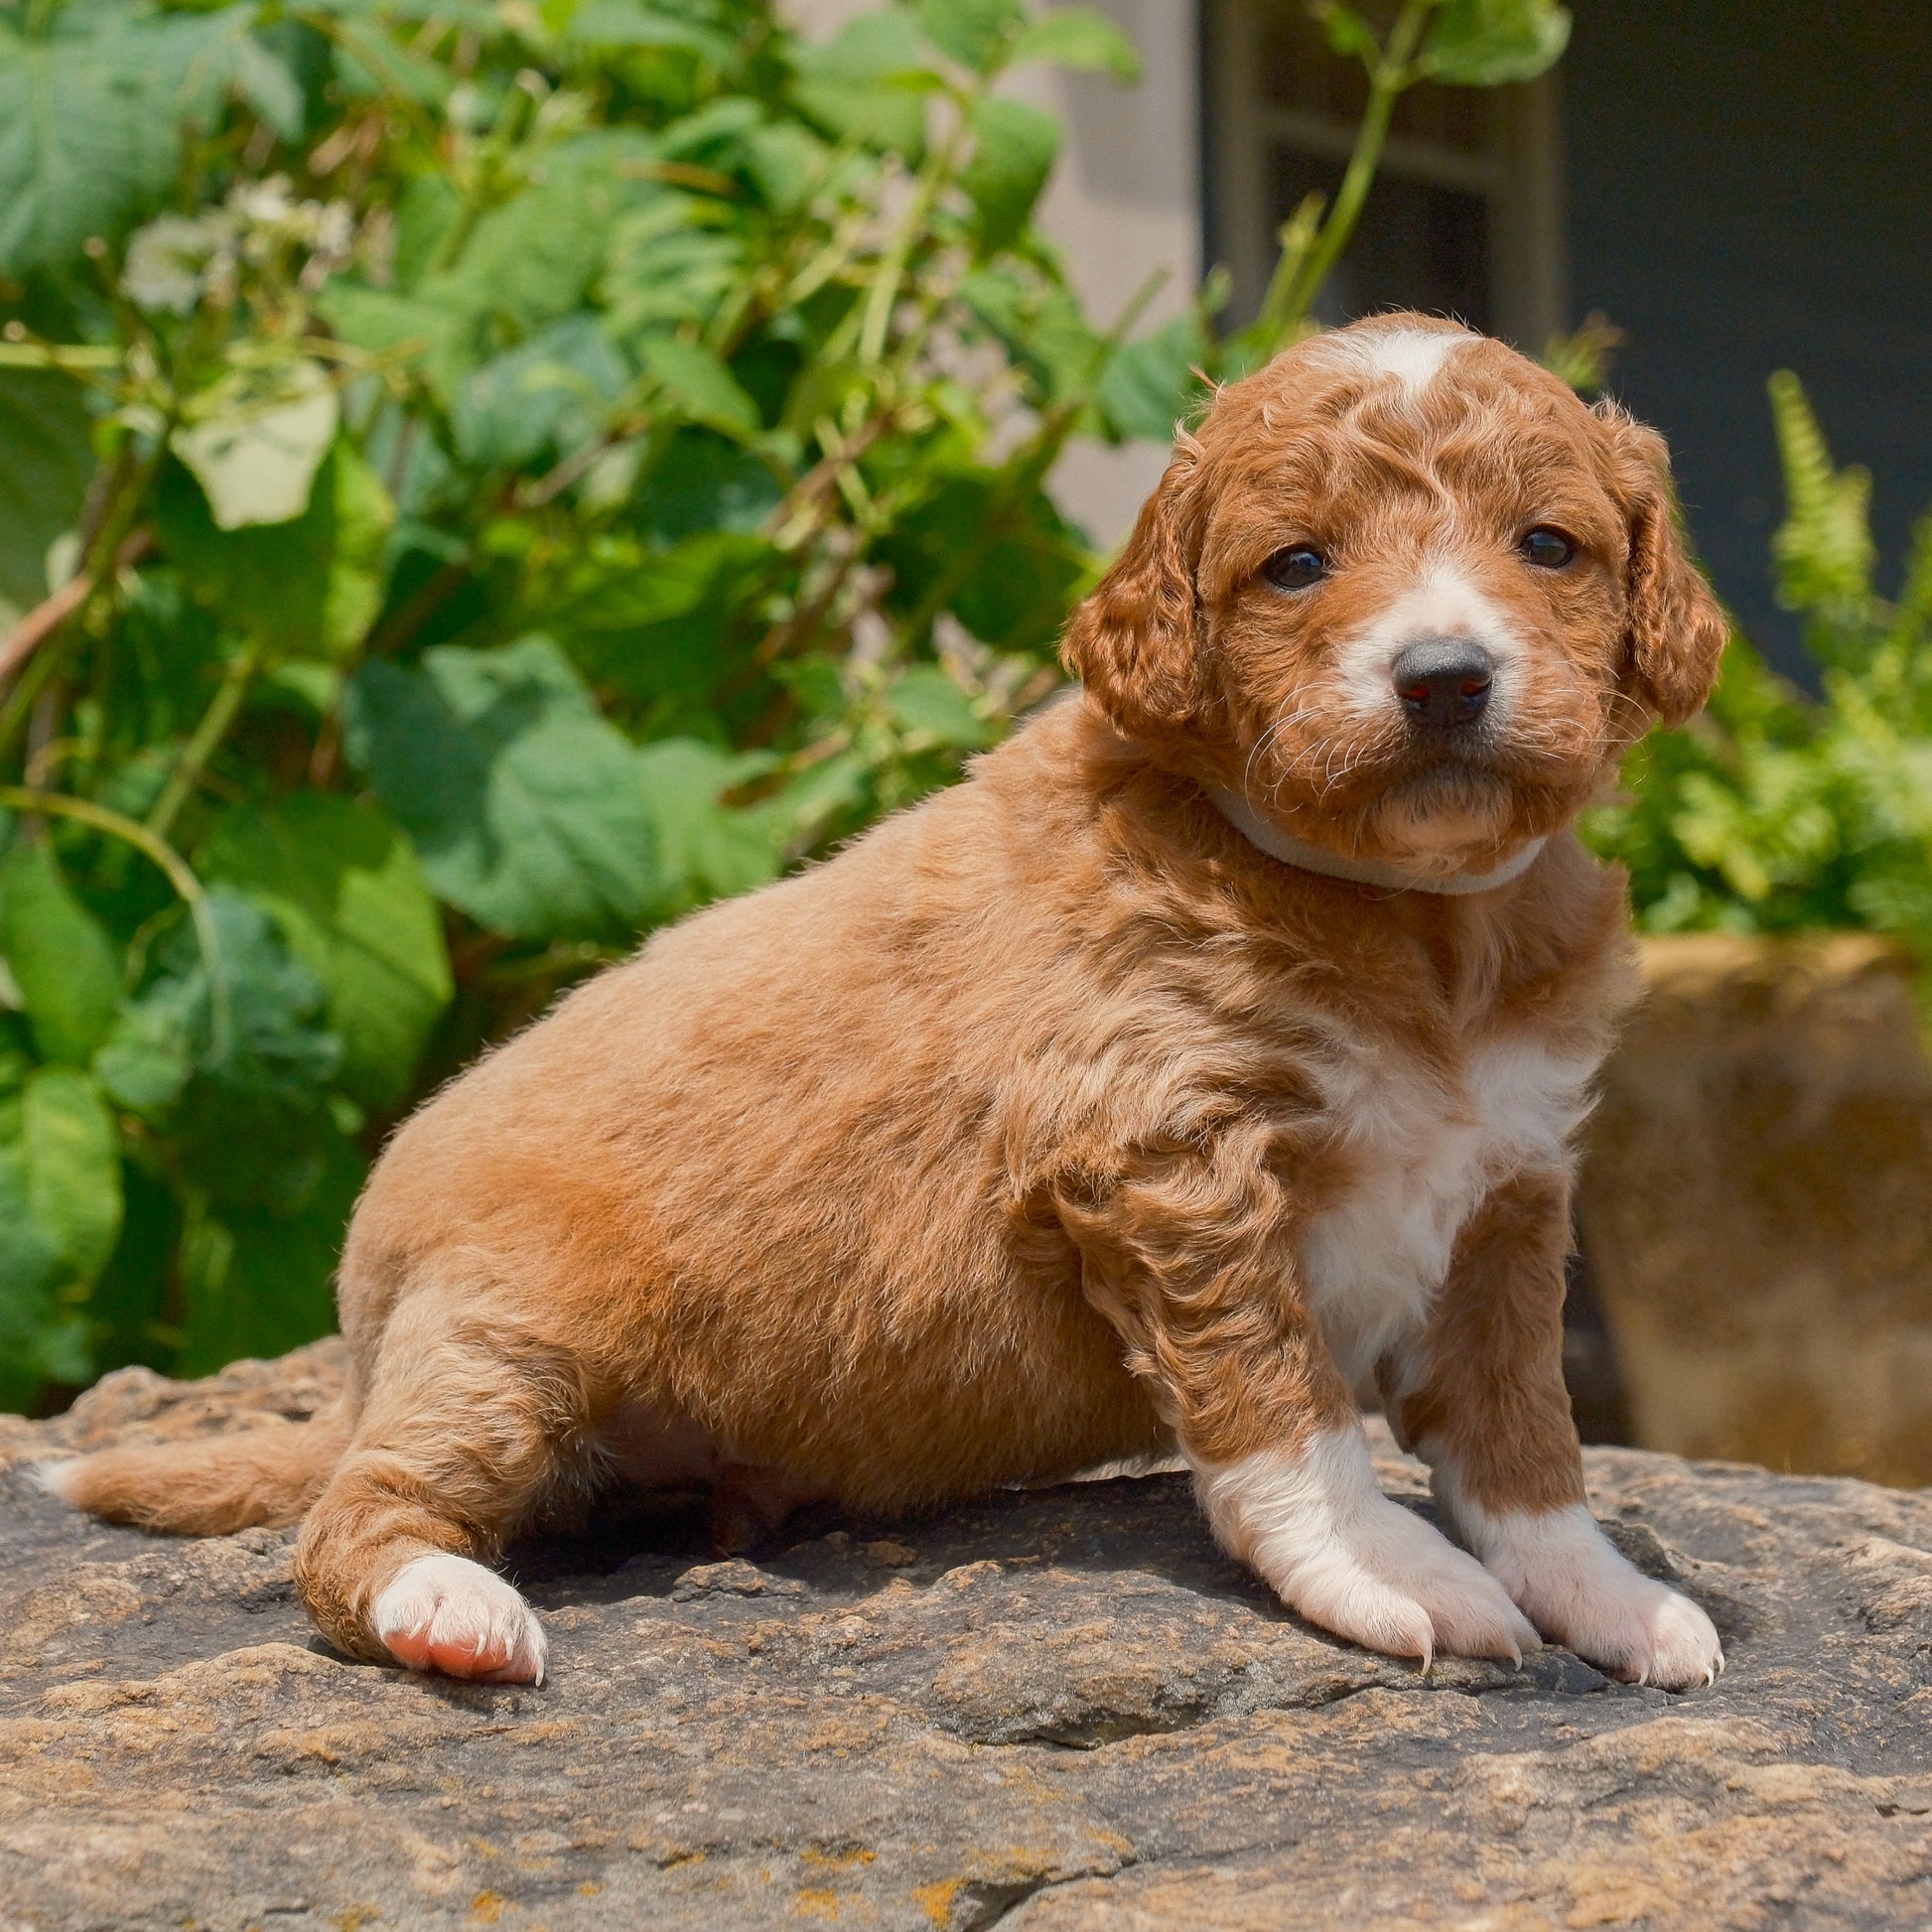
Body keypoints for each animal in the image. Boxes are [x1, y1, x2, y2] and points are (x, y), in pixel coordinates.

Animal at [45, 313, 1738, 1692]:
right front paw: (1397, 1573)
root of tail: (357, 1353)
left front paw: (1605, 1590)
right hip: (493, 1333)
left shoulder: (1509, 1185)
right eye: (1298, 563)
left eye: (1549, 546)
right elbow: (1288, 1410)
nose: (1442, 677)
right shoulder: (1165, 1157)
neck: (1412, 923)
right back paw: (441, 1606)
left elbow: (1521, 1432)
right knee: (352, 1520)